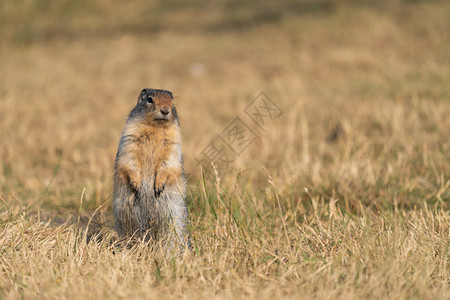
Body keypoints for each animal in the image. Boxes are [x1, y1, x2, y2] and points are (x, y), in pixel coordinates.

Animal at [114, 89, 190, 251]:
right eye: (149, 99)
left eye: (172, 100)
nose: (165, 110)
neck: (156, 127)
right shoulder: (129, 138)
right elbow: (129, 160)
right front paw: (136, 184)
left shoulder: (173, 143)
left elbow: (168, 163)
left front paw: (159, 186)